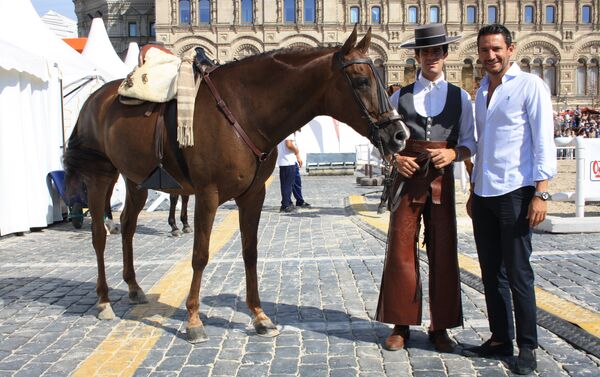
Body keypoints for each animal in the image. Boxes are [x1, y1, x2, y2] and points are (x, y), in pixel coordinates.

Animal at [63, 27, 410, 342]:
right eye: (362, 80)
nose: (399, 134)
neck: (244, 110)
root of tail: (97, 98)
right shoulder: (207, 194)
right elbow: (200, 255)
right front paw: (193, 319)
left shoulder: (253, 194)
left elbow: (250, 251)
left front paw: (259, 315)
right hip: (101, 175)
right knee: (99, 235)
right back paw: (104, 300)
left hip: (136, 180)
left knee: (128, 227)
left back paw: (134, 287)